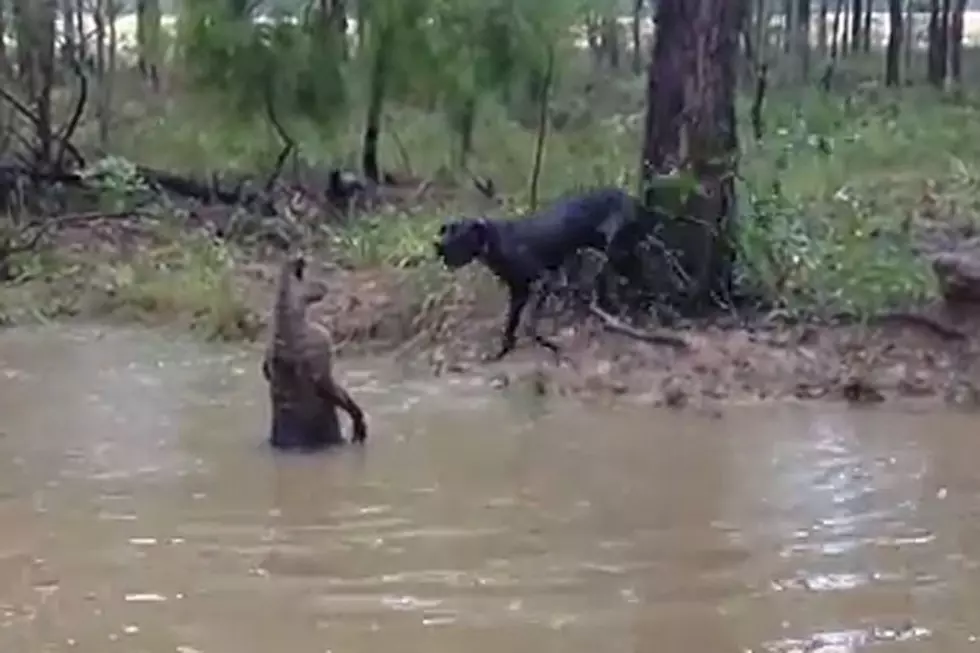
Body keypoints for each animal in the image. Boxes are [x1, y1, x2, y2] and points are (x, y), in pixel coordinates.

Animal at [432, 187, 640, 362]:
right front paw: (503, 351)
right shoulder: (519, 290)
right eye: (447, 231)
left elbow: (529, 325)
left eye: (460, 236)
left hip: (615, 252)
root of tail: (626, 194)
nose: (439, 248)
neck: (495, 241)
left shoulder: (543, 282)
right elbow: (511, 323)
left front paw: (551, 346)